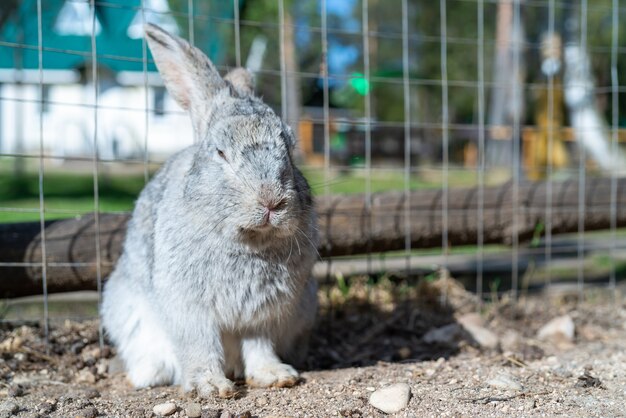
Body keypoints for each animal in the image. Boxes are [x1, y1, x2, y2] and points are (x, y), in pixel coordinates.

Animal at [102, 23, 320, 398]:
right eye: (220, 152)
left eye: (290, 148)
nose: (271, 200)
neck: (249, 241)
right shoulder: (190, 309)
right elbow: (199, 345)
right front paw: (210, 386)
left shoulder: (262, 315)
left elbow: (259, 345)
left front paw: (276, 375)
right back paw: (148, 375)